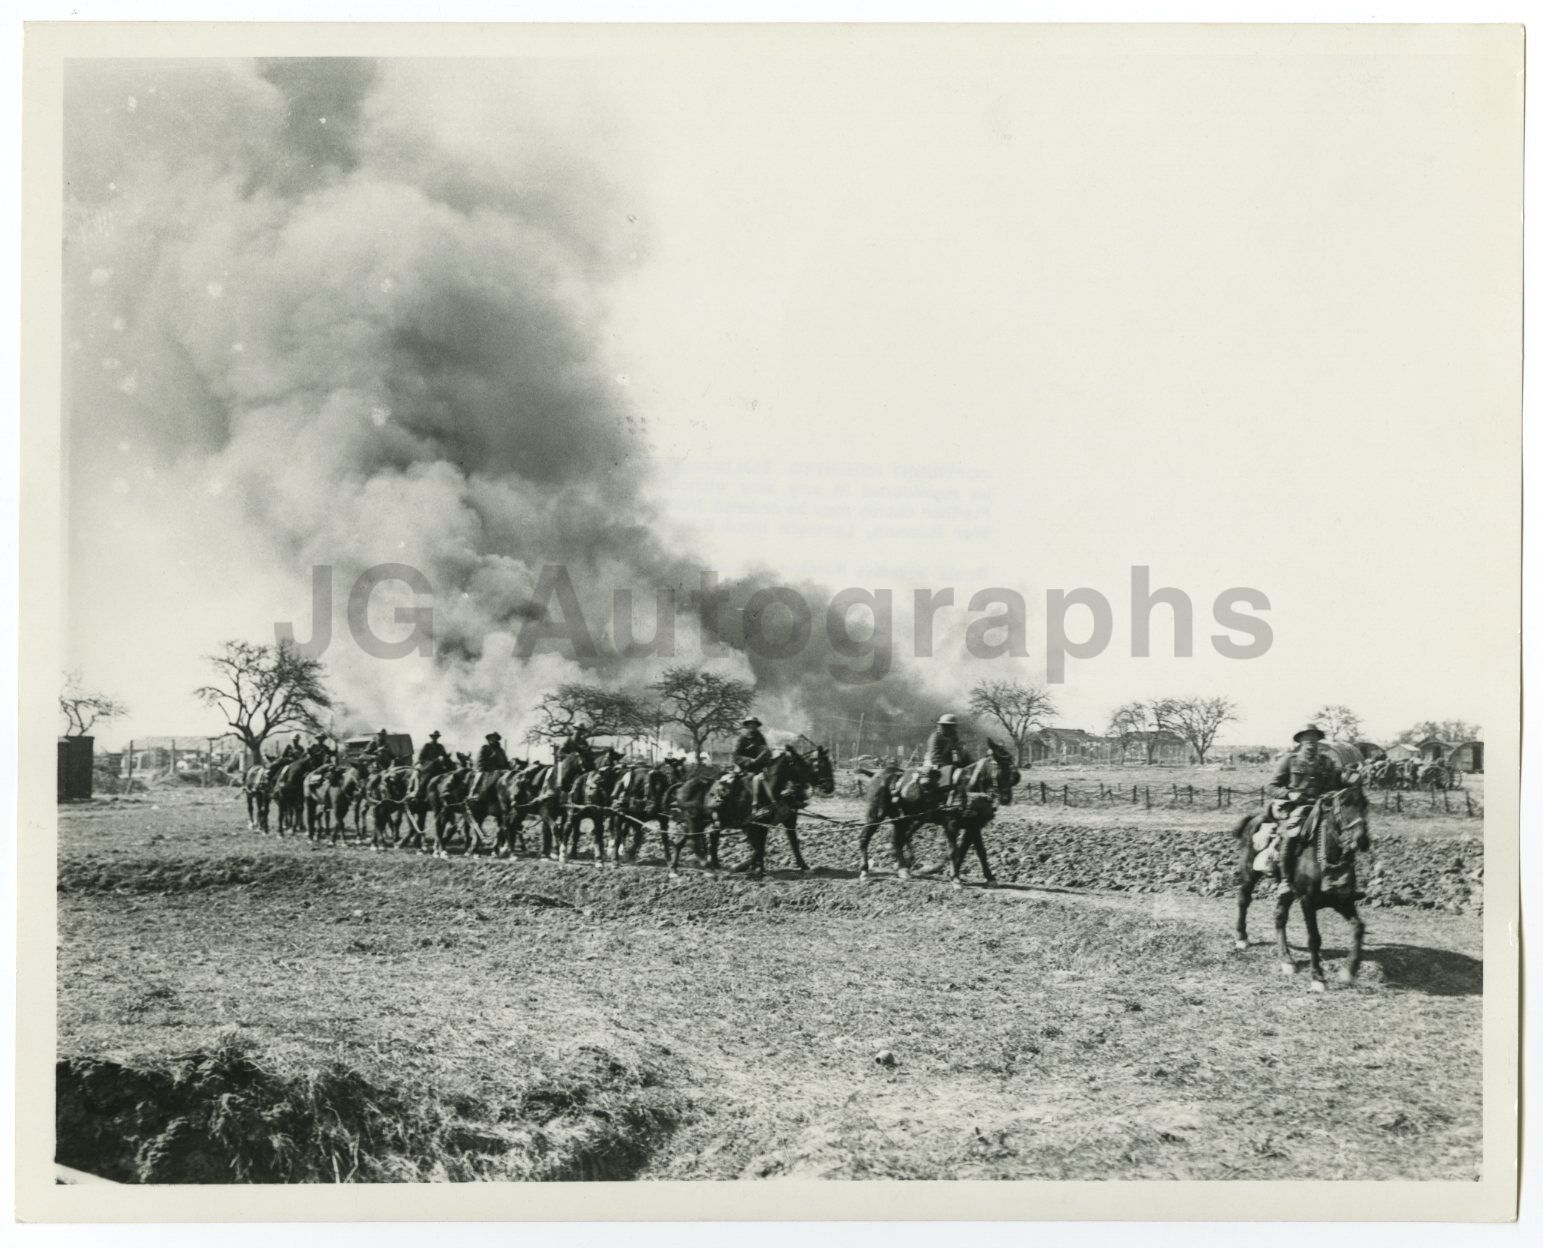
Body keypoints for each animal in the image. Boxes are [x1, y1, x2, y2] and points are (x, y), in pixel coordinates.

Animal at [864, 740, 1018, 888]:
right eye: (1001, 766)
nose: (1007, 798)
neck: (965, 789)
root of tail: (884, 773)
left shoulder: (973, 827)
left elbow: (980, 851)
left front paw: (990, 878)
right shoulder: (951, 825)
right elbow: (953, 851)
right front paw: (955, 878)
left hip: (903, 818)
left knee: (897, 840)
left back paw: (902, 868)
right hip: (877, 815)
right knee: (867, 838)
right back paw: (866, 871)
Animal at [1228, 783, 1376, 987]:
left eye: (1365, 804)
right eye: (1345, 804)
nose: (1361, 840)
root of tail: (1257, 817)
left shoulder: (1343, 901)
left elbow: (1359, 928)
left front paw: (1350, 970)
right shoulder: (1307, 902)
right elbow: (1314, 938)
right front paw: (1318, 977)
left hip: (1288, 892)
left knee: (1279, 916)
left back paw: (1287, 960)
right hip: (1249, 873)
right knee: (1243, 900)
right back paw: (1242, 937)